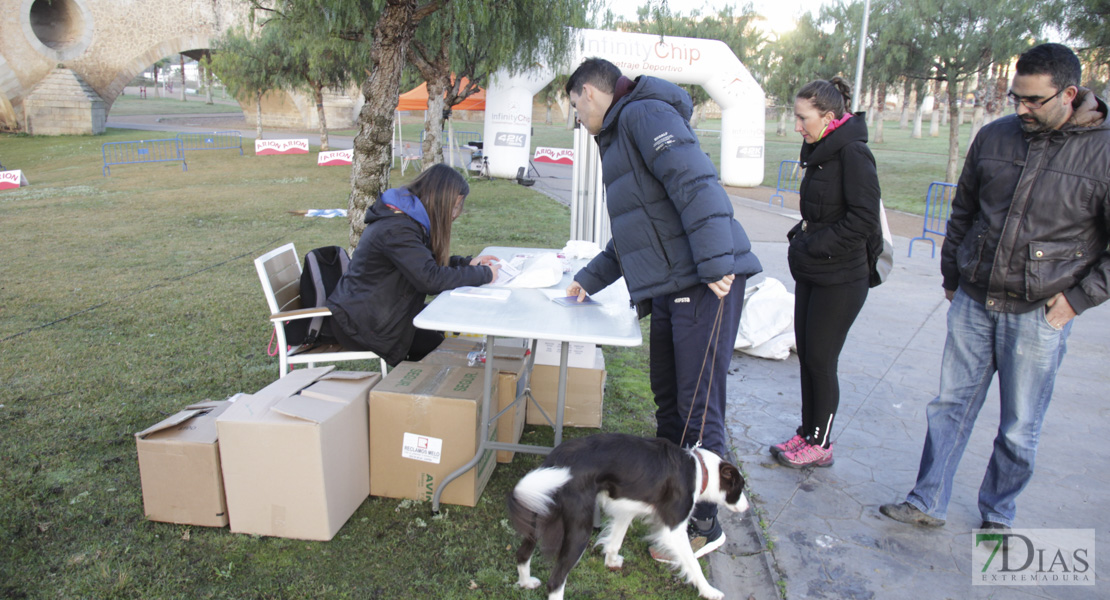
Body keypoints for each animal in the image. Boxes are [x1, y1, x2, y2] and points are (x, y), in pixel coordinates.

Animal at [508, 432, 750, 594]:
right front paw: (709, 591)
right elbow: (693, 563)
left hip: (539, 510)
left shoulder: (626, 510)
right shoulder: (673, 529)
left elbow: (615, 540)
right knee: (556, 580)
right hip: (579, 528)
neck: (700, 469)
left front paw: (611, 561)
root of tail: (556, 460)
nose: (747, 507)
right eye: (740, 487)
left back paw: (526, 582)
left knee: (522, 553)